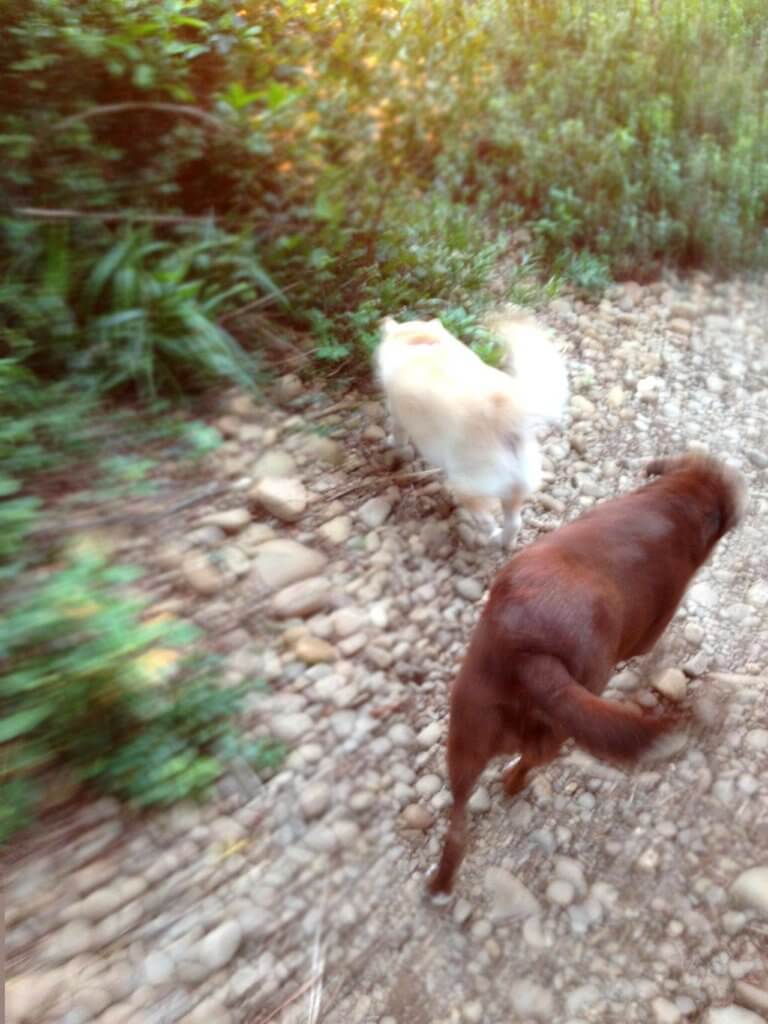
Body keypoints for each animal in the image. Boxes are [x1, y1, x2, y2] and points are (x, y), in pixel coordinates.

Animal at [376, 311, 569, 548]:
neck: (422, 342)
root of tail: (504, 413)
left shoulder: (396, 414)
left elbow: (399, 436)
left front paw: (391, 443)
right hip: (517, 487)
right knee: (515, 522)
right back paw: (505, 542)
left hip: (466, 486)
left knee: (485, 519)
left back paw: (491, 537)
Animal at [428, 452, 745, 892]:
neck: (676, 503)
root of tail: (534, 658)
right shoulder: (652, 629)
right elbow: (652, 649)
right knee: (522, 768)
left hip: (469, 732)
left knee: (460, 812)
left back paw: (441, 880)